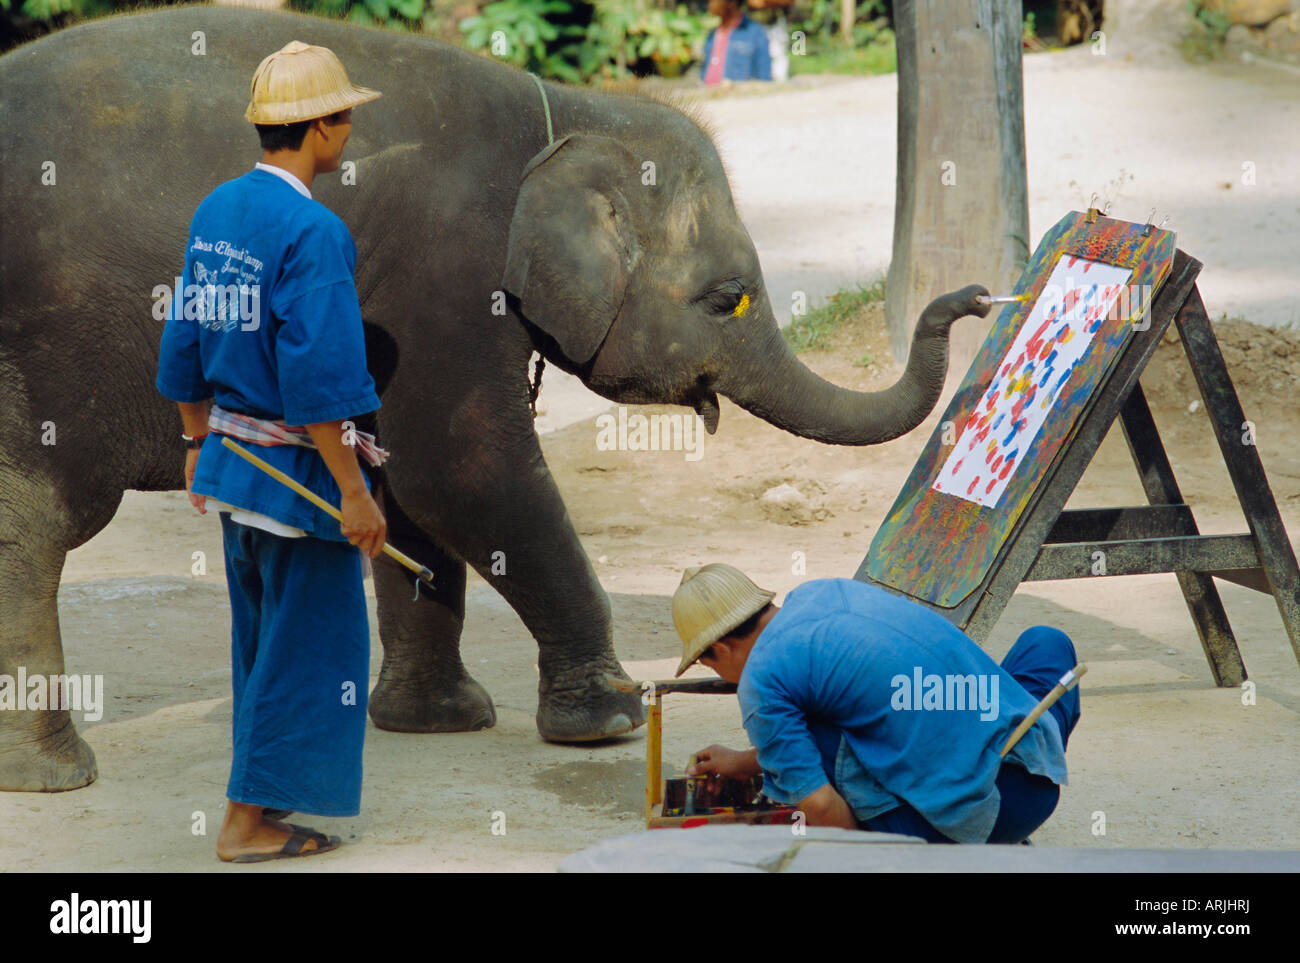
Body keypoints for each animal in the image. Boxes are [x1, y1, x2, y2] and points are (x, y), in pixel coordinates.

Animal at [0, 6, 990, 791]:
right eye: (728, 298)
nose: (975, 299)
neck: (565, 115)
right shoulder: (440, 277)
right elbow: (464, 470)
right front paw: (609, 721)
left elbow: (402, 490)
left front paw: (438, 721)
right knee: (37, 521)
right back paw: (54, 772)